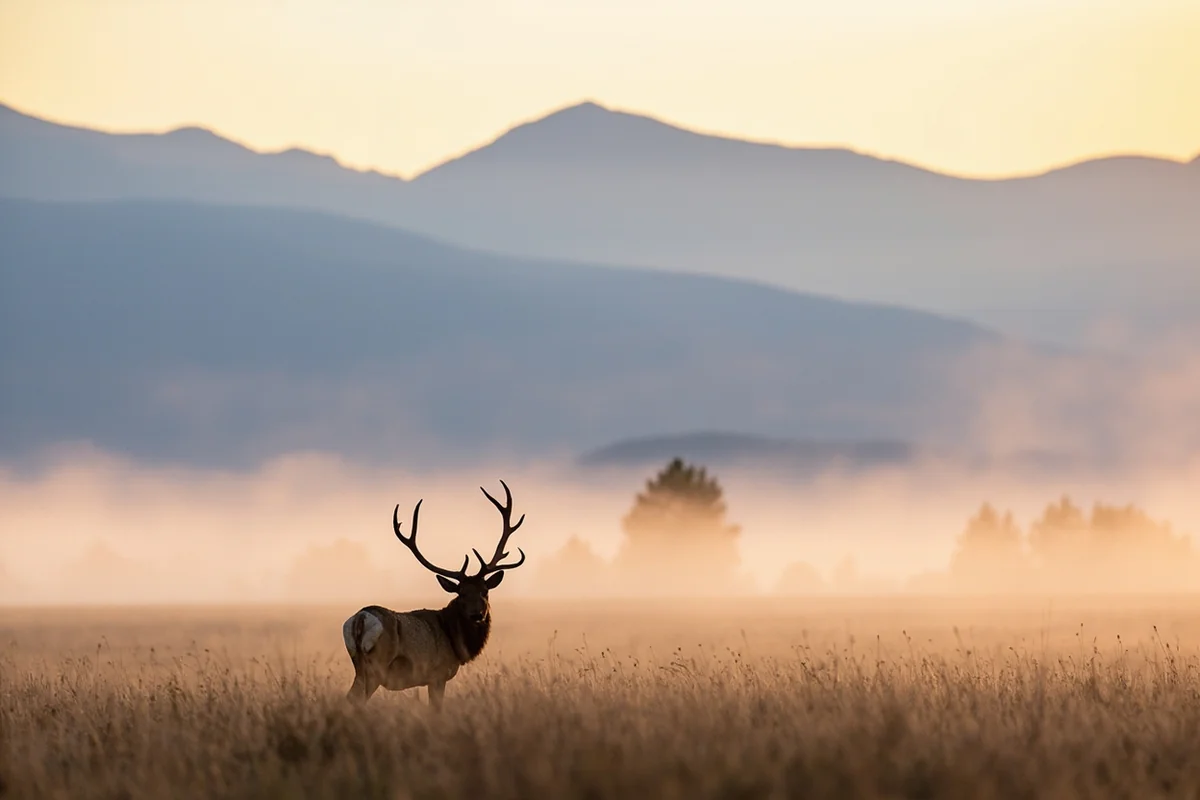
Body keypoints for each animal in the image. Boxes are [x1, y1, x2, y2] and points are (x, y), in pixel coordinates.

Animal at [341, 480, 526, 710]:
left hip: (359, 663)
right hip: (375, 667)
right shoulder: (438, 674)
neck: (454, 640)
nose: (477, 615)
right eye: (461, 593)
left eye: (485, 591)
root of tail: (360, 619)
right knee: (354, 699)